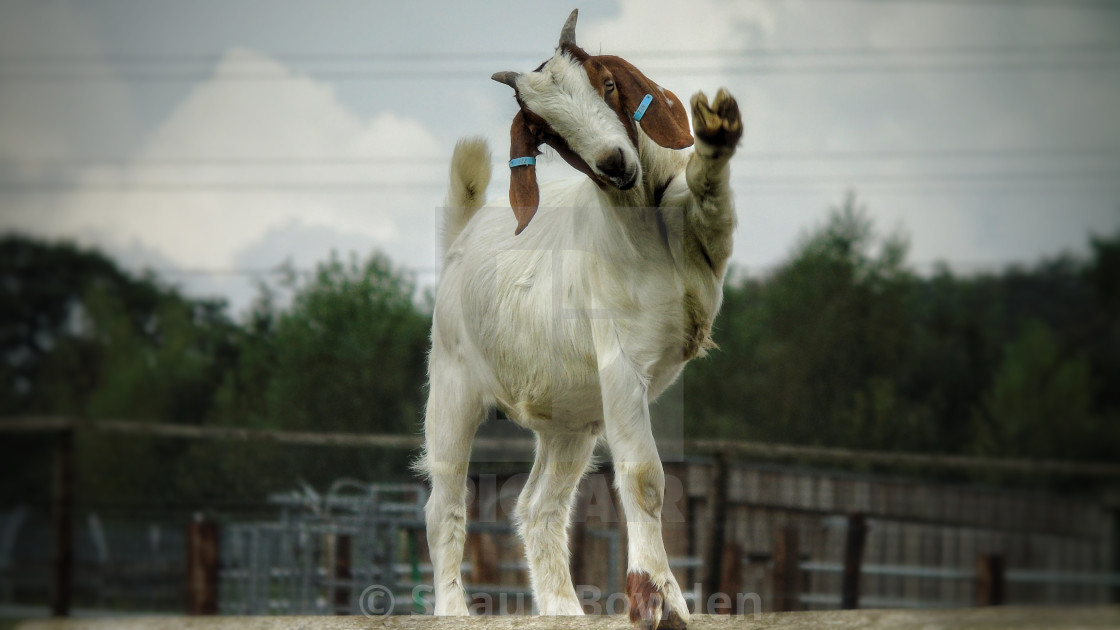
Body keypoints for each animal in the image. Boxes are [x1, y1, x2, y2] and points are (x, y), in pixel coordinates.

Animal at [416, 9, 739, 627]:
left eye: (607, 84)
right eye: (546, 132)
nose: (614, 163)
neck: (640, 217)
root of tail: (463, 236)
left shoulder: (706, 246)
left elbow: (712, 200)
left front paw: (715, 133)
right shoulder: (622, 364)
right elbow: (644, 476)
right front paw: (656, 598)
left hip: (570, 420)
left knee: (538, 505)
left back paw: (563, 608)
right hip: (451, 387)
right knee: (444, 501)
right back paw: (454, 609)